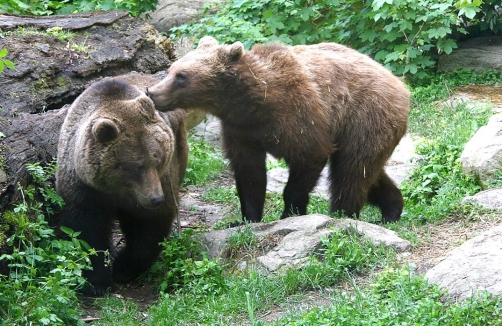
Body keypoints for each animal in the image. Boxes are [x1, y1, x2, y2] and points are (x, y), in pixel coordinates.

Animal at [55, 73, 188, 296]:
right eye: (135, 167)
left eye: (158, 159)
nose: (156, 198)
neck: (117, 189)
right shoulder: (84, 187)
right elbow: (85, 229)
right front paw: (97, 281)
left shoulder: (159, 181)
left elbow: (148, 225)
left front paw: (123, 269)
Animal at [146, 35, 412, 224]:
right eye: (172, 69)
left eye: (182, 76)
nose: (152, 92)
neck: (251, 102)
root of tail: (400, 84)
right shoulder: (241, 129)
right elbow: (249, 173)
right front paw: (246, 218)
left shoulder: (298, 114)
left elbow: (308, 156)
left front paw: (290, 212)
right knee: (367, 170)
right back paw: (392, 208)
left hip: (365, 115)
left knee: (352, 169)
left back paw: (342, 212)